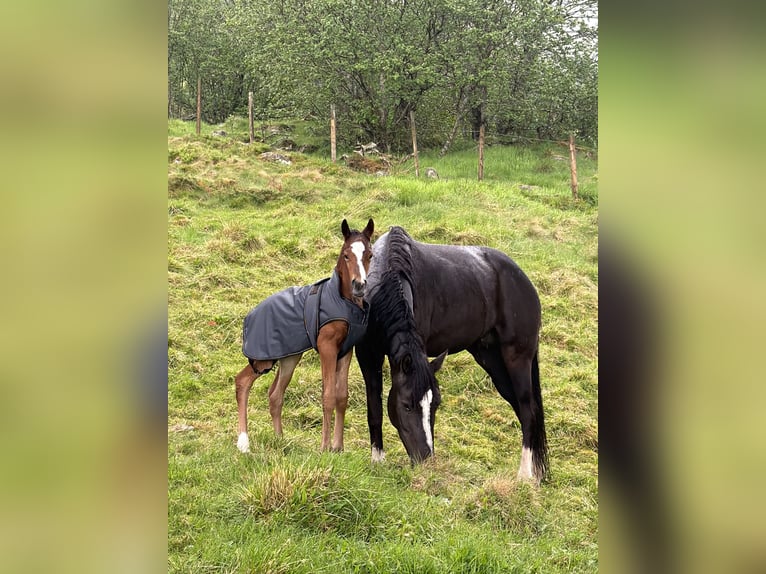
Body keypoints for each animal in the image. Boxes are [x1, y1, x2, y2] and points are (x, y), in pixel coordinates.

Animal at [235, 219, 374, 454]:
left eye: (370, 255)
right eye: (346, 255)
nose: (359, 285)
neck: (343, 302)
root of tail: (250, 316)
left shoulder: (346, 351)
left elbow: (342, 396)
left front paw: (338, 447)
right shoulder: (327, 348)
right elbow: (328, 396)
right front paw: (325, 447)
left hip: (289, 357)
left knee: (275, 395)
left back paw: (280, 439)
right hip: (264, 360)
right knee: (242, 382)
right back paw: (244, 443)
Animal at [355, 226, 548, 484]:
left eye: (435, 404)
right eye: (406, 406)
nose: (425, 459)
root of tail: (526, 284)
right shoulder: (367, 354)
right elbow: (374, 408)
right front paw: (377, 461)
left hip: (517, 358)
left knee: (528, 411)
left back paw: (525, 476)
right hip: (492, 360)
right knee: (523, 409)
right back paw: (536, 475)